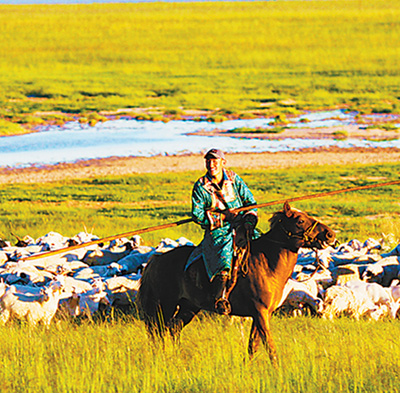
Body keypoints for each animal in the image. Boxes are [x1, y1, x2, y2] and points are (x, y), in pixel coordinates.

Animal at [136, 202, 336, 364]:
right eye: (300, 220)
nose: (330, 234)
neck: (267, 262)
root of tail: (155, 260)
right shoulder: (261, 313)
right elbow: (269, 346)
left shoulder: (259, 315)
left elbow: (253, 346)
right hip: (164, 307)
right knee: (158, 333)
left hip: (188, 307)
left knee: (173, 329)